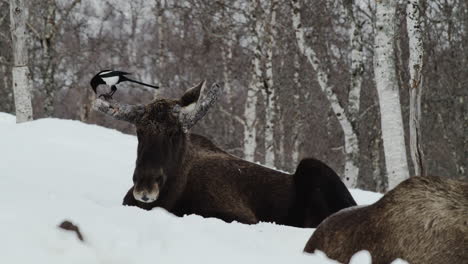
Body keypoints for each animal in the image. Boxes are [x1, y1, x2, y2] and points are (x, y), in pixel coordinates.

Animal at [92, 80, 354, 227]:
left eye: (174, 132)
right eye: (140, 131)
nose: (145, 187)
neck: (173, 191)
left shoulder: (242, 216)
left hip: (313, 167)